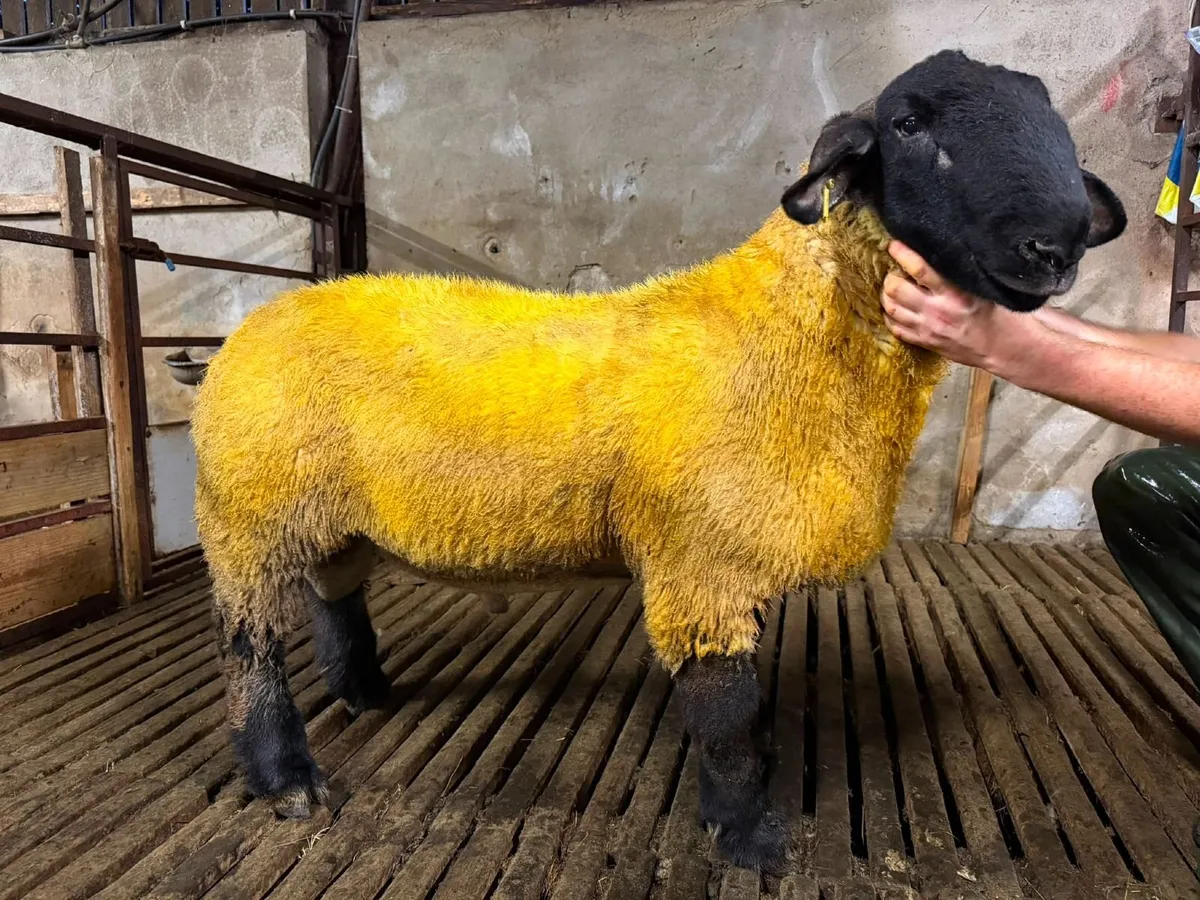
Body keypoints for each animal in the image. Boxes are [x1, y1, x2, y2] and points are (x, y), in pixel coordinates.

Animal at [191, 49, 1126, 871]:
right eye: (906, 124)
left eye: (1058, 126)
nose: (1055, 247)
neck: (786, 332)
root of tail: (246, 331)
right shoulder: (700, 563)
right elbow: (725, 712)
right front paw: (747, 836)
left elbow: (746, 701)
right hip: (247, 515)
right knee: (248, 645)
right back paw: (286, 777)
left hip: (326, 515)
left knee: (333, 594)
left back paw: (362, 689)